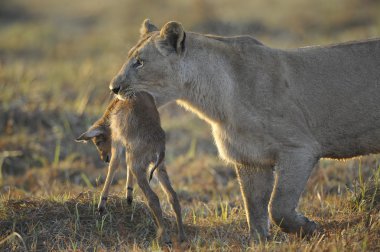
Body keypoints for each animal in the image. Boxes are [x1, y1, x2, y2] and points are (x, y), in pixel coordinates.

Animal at [76, 92, 186, 244]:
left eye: (98, 142)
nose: (104, 158)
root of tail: (159, 147)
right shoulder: (128, 148)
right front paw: (128, 196)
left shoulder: (117, 141)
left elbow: (114, 164)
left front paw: (101, 205)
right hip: (159, 168)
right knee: (173, 196)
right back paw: (181, 236)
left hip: (140, 169)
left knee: (153, 198)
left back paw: (165, 237)